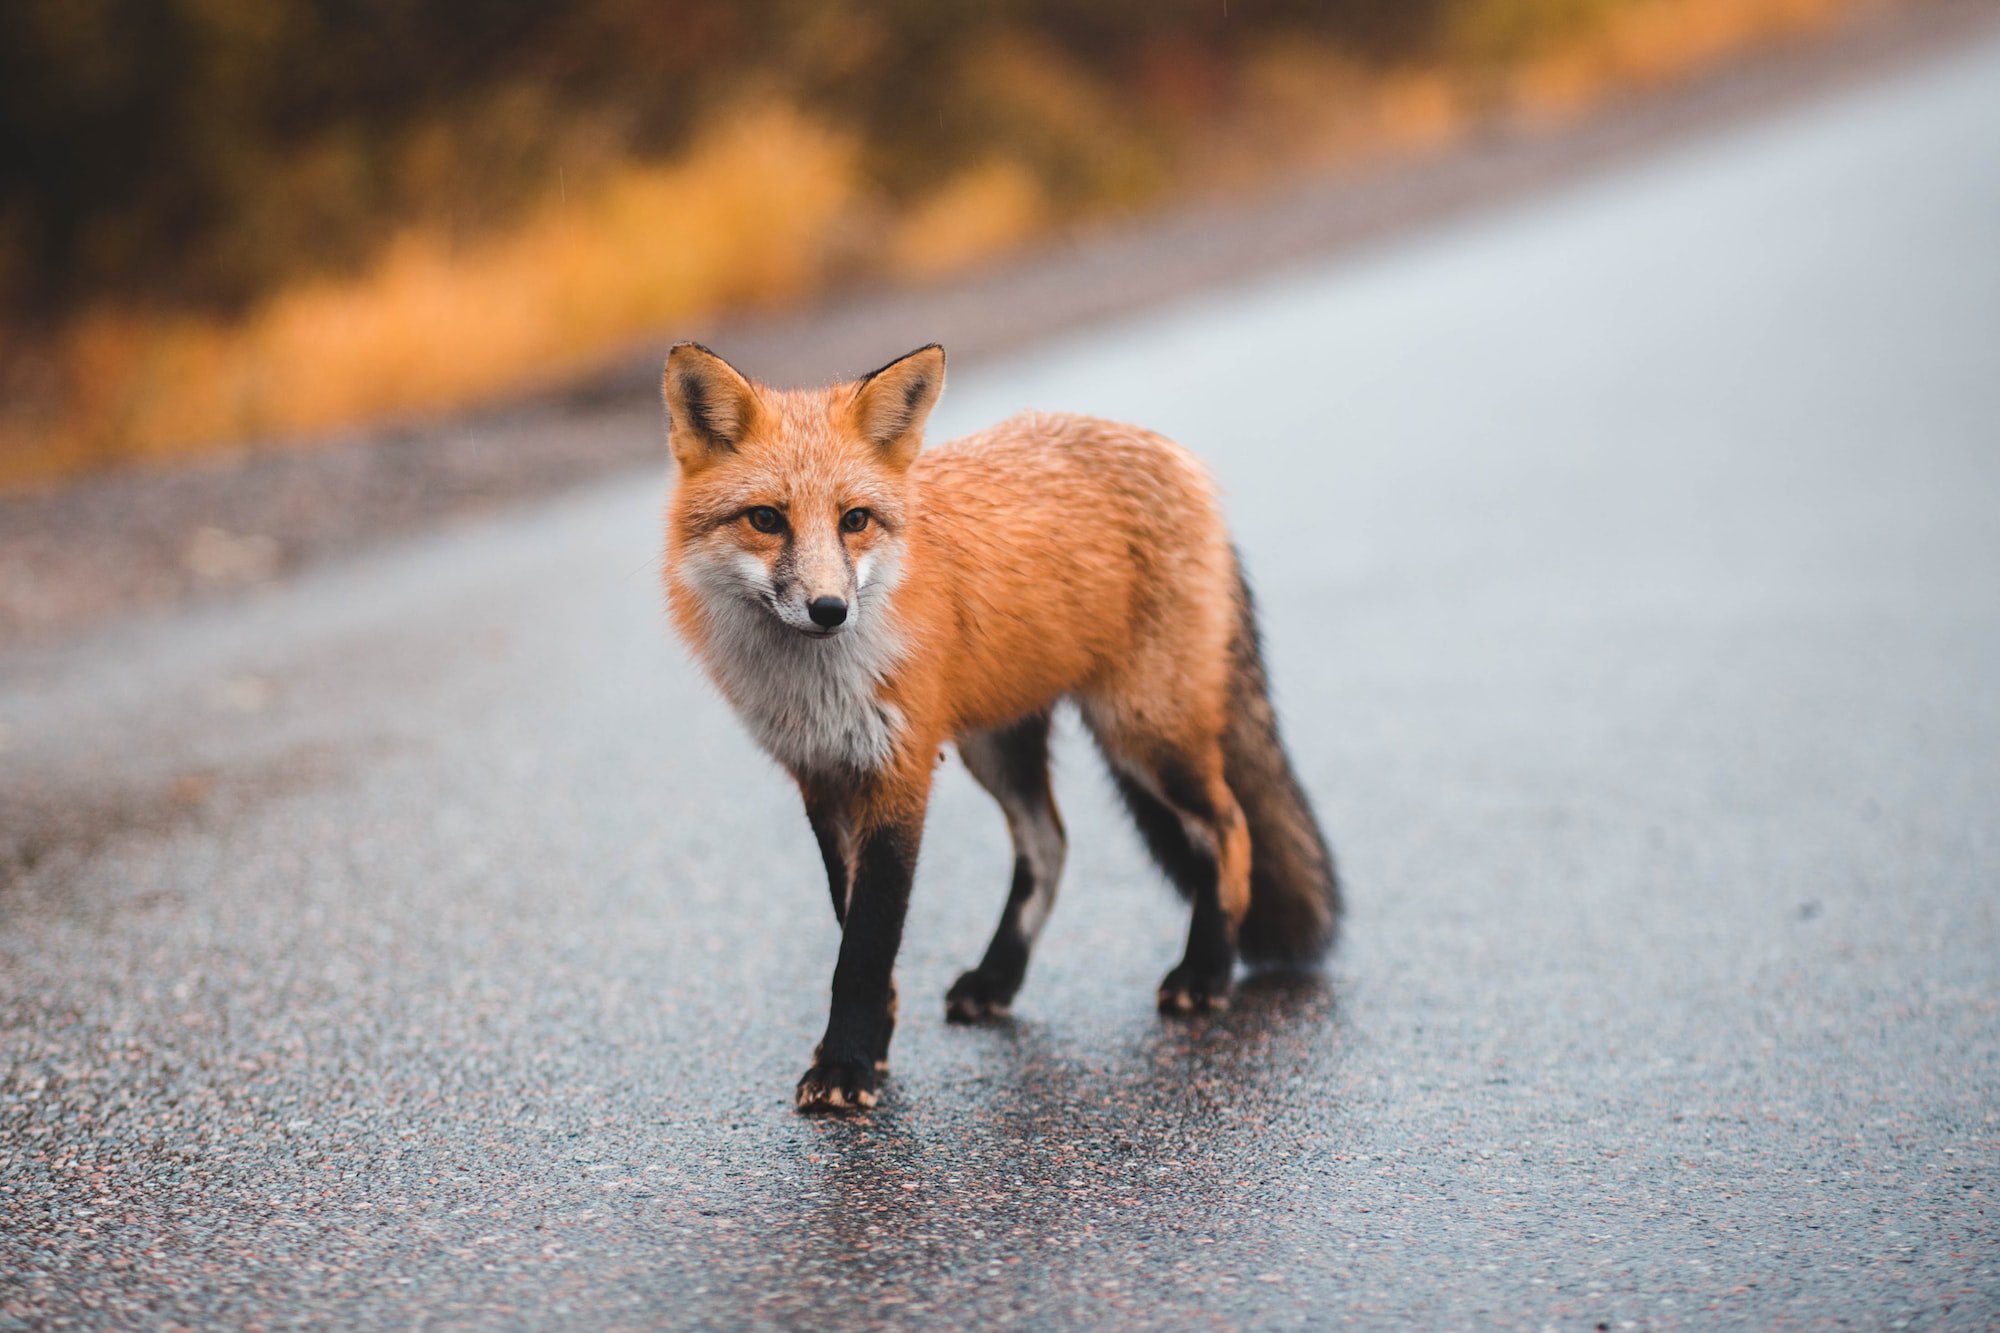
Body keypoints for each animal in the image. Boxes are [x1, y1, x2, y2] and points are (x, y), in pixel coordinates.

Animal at [661, 341, 1338, 1112]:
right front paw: (872, 1045)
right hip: (999, 746)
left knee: (1228, 828)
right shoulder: (823, 776)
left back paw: (1206, 972)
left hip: (1143, 732)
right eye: (767, 519)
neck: (817, 686)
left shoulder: (901, 770)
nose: (831, 609)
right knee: (1050, 843)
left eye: (854, 520)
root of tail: (1173, 454)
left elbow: (866, 943)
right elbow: (851, 922)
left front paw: (847, 1064)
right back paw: (998, 979)